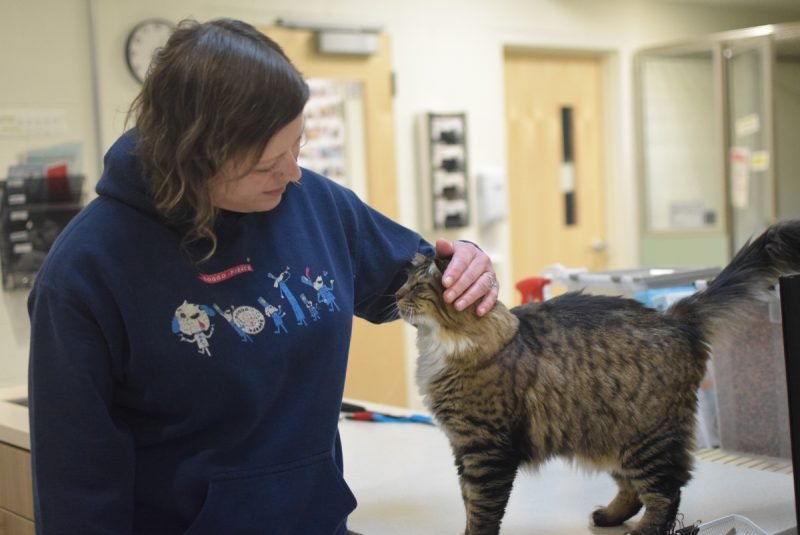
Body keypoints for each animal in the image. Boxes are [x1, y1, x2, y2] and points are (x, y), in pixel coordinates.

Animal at [394, 221, 800, 535]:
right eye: (405, 281)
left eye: (417, 287)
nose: (396, 295)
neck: (442, 345)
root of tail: (674, 316)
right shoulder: (463, 448)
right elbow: (468, 502)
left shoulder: (485, 450)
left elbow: (481, 509)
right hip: (607, 431)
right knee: (634, 489)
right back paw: (608, 516)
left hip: (649, 438)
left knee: (668, 492)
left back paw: (644, 530)